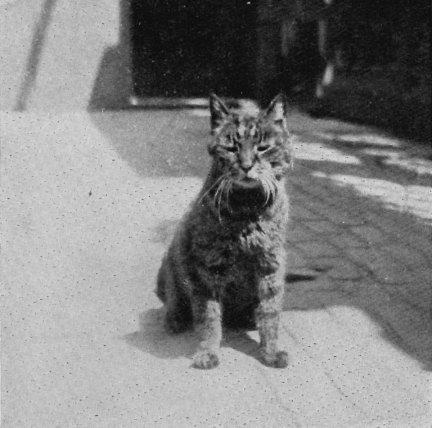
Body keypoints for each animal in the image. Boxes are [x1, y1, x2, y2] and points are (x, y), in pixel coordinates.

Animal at [156, 93, 294, 368]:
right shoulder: (207, 268)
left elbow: (270, 312)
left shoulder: (270, 264)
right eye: (232, 148)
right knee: (174, 300)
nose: (247, 165)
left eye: (262, 147)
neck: (247, 210)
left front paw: (270, 351)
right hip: (173, 263)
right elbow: (208, 317)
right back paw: (175, 319)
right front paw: (208, 351)